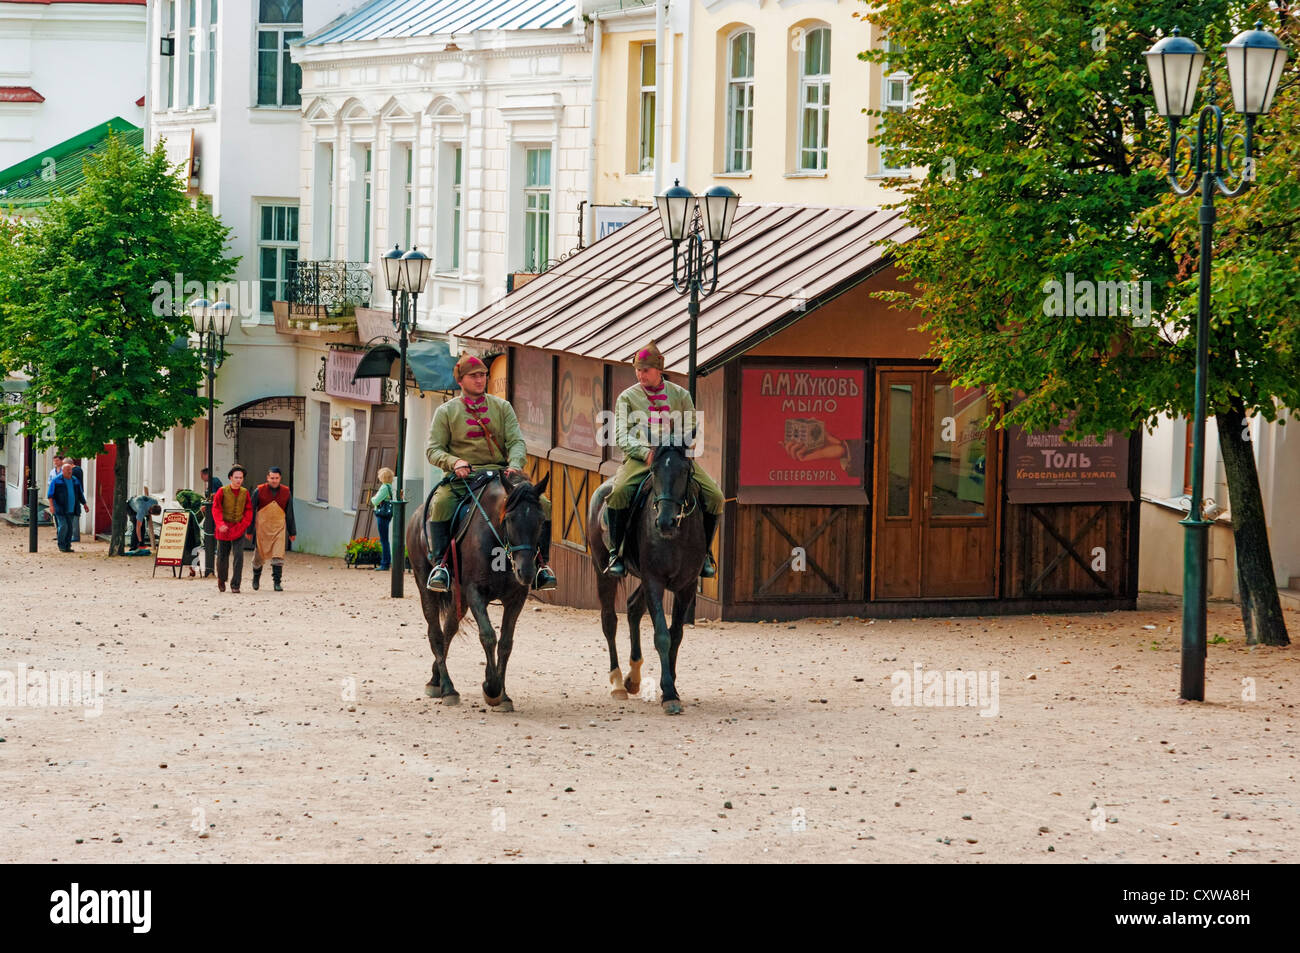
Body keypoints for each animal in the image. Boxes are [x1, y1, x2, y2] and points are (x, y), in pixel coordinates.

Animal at [405, 473, 548, 712]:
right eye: (510, 519)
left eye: (541, 520)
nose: (526, 571)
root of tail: (416, 515)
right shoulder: (475, 593)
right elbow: (488, 636)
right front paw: (491, 687)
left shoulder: (515, 598)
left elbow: (506, 643)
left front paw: (503, 694)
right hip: (427, 587)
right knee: (436, 633)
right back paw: (447, 688)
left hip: (459, 596)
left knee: (449, 629)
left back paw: (436, 680)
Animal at [592, 439, 712, 712]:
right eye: (654, 470)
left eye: (685, 470)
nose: (666, 522)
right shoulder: (654, 581)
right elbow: (662, 636)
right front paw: (668, 693)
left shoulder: (686, 586)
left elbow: (676, 635)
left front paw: (672, 686)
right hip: (603, 571)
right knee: (609, 620)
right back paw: (617, 683)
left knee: (633, 608)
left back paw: (633, 678)